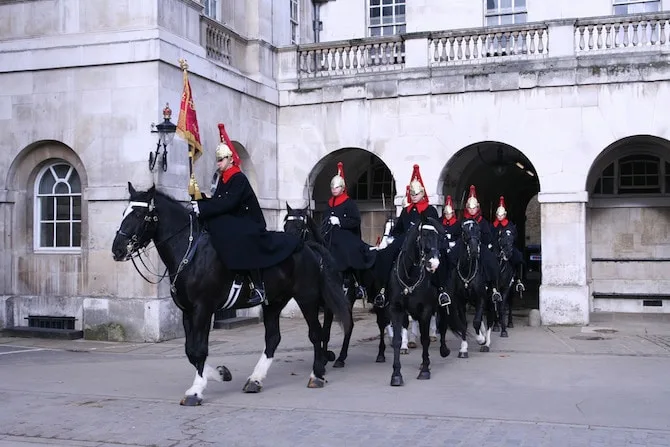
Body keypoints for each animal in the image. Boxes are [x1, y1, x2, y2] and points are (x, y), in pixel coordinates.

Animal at [113, 185, 354, 406]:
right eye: (123, 211)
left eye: (138, 214)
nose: (117, 249)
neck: (190, 253)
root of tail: (307, 246)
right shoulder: (187, 311)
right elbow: (190, 350)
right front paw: (220, 373)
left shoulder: (203, 308)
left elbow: (199, 350)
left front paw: (196, 391)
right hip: (273, 302)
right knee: (273, 338)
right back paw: (256, 379)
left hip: (307, 298)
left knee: (316, 333)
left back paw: (317, 374)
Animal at [388, 219, 468, 386]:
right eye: (423, 236)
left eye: (438, 239)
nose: (435, 264)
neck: (410, 278)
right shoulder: (396, 309)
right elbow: (397, 340)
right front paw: (396, 375)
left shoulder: (425, 310)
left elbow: (425, 339)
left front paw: (425, 370)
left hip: (443, 305)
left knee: (443, 326)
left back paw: (444, 351)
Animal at [454, 219, 496, 358]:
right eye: (464, 231)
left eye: (479, 231)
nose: (473, 250)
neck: (468, 271)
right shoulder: (460, 301)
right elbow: (464, 324)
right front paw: (463, 349)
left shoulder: (481, 298)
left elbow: (476, 322)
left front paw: (481, 340)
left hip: (491, 300)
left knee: (490, 319)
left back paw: (486, 343)